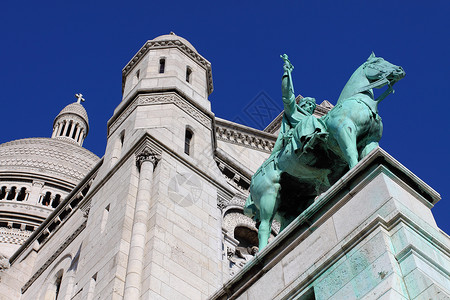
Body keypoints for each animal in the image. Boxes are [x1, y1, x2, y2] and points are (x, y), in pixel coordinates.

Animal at [244, 53, 406, 251]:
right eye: (376, 62)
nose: (399, 70)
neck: (357, 101)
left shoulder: (370, 141)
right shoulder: (345, 131)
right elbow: (351, 154)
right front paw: (286, 68)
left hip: (293, 204)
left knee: (283, 227)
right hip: (269, 195)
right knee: (265, 227)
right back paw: (261, 252)